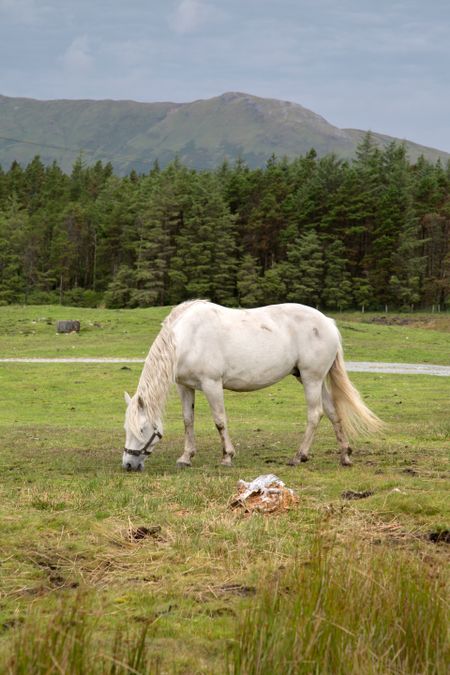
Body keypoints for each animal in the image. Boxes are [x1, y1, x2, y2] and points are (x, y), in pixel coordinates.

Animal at [121, 302, 382, 470]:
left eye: (142, 429)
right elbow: (188, 420)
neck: (187, 338)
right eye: (126, 429)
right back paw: (345, 456)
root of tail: (327, 322)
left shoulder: (212, 384)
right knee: (332, 412)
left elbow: (219, 421)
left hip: (312, 378)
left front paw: (227, 457)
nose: (128, 464)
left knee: (315, 414)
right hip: (311, 379)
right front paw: (186, 457)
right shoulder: (185, 387)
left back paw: (299, 456)